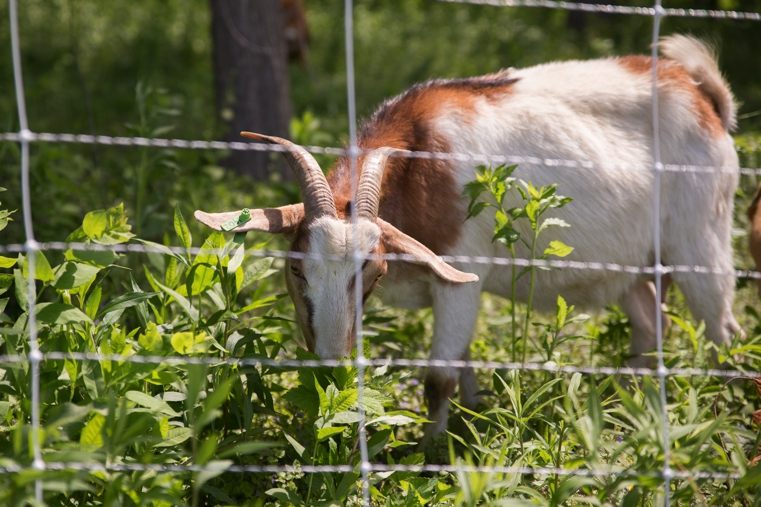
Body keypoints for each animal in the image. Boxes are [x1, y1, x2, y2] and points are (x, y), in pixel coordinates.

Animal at [194, 35, 736, 440]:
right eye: (294, 267)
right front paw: (475, 423)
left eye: (372, 270)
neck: (417, 161)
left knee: (722, 329)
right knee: (648, 323)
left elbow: (439, 377)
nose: (331, 361)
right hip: (633, 264)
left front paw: (431, 456)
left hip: (701, 238)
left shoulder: (459, 274)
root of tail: (700, 94)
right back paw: (633, 409)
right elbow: (465, 363)